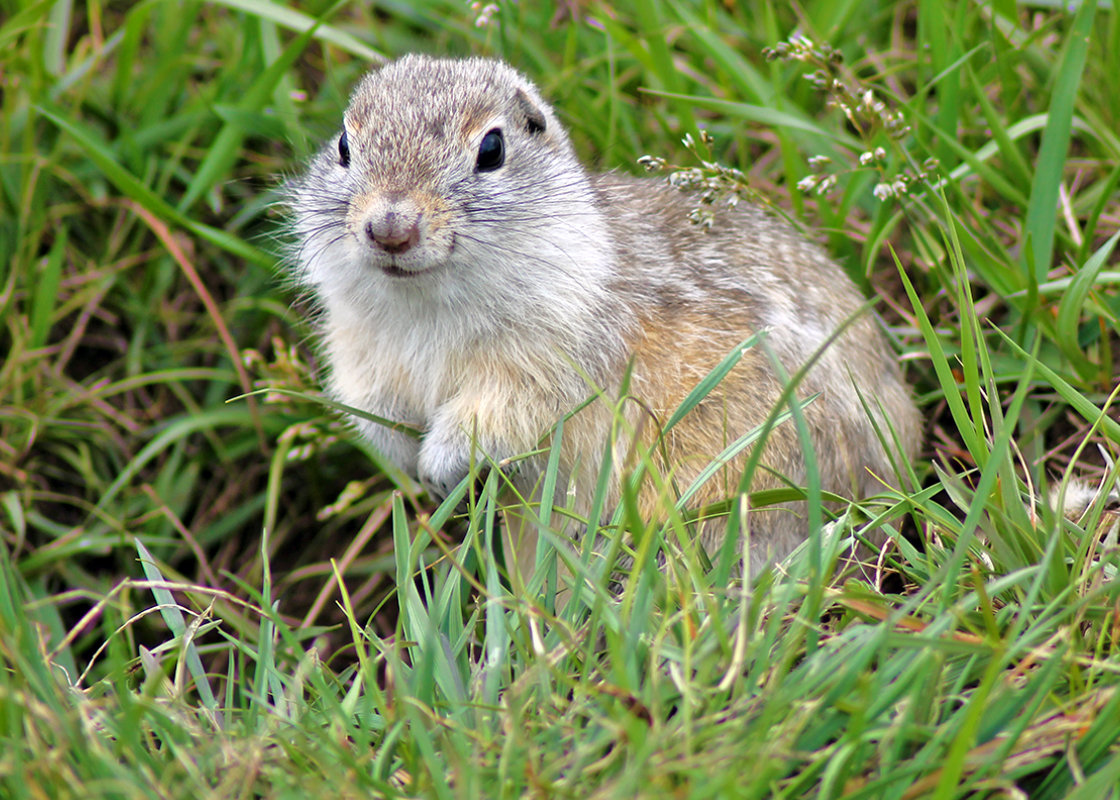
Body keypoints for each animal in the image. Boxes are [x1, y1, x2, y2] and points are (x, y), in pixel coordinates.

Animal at [284, 54, 922, 573]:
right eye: (343, 146)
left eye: (491, 150)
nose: (390, 228)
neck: (424, 305)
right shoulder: (363, 359)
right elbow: (377, 414)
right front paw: (412, 466)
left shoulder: (547, 368)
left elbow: (496, 417)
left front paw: (441, 465)